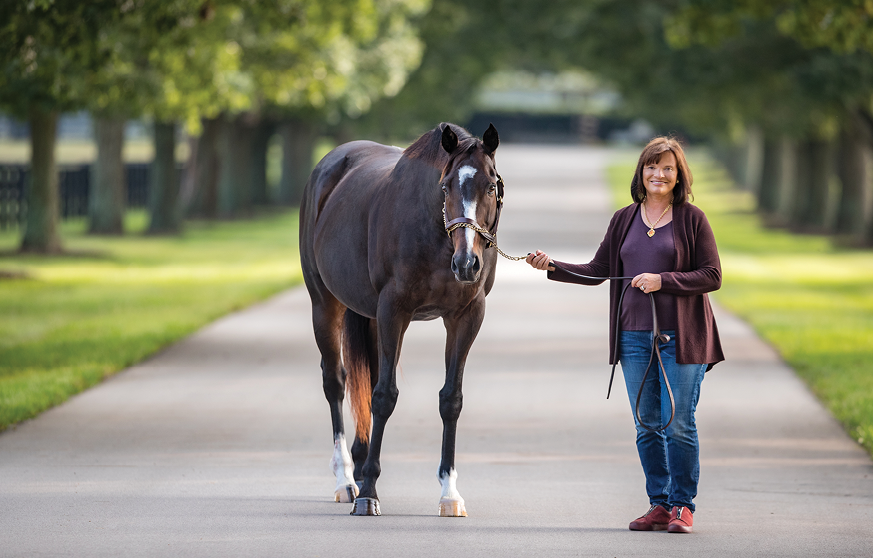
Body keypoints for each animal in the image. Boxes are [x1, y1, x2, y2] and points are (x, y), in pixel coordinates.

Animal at [302, 124, 500, 520]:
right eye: (446, 186)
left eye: (490, 186)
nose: (466, 263)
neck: (436, 234)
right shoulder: (394, 310)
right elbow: (384, 397)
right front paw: (368, 495)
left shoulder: (466, 317)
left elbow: (450, 400)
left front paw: (449, 493)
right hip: (325, 304)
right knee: (336, 383)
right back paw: (347, 480)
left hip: (368, 315)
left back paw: (360, 466)